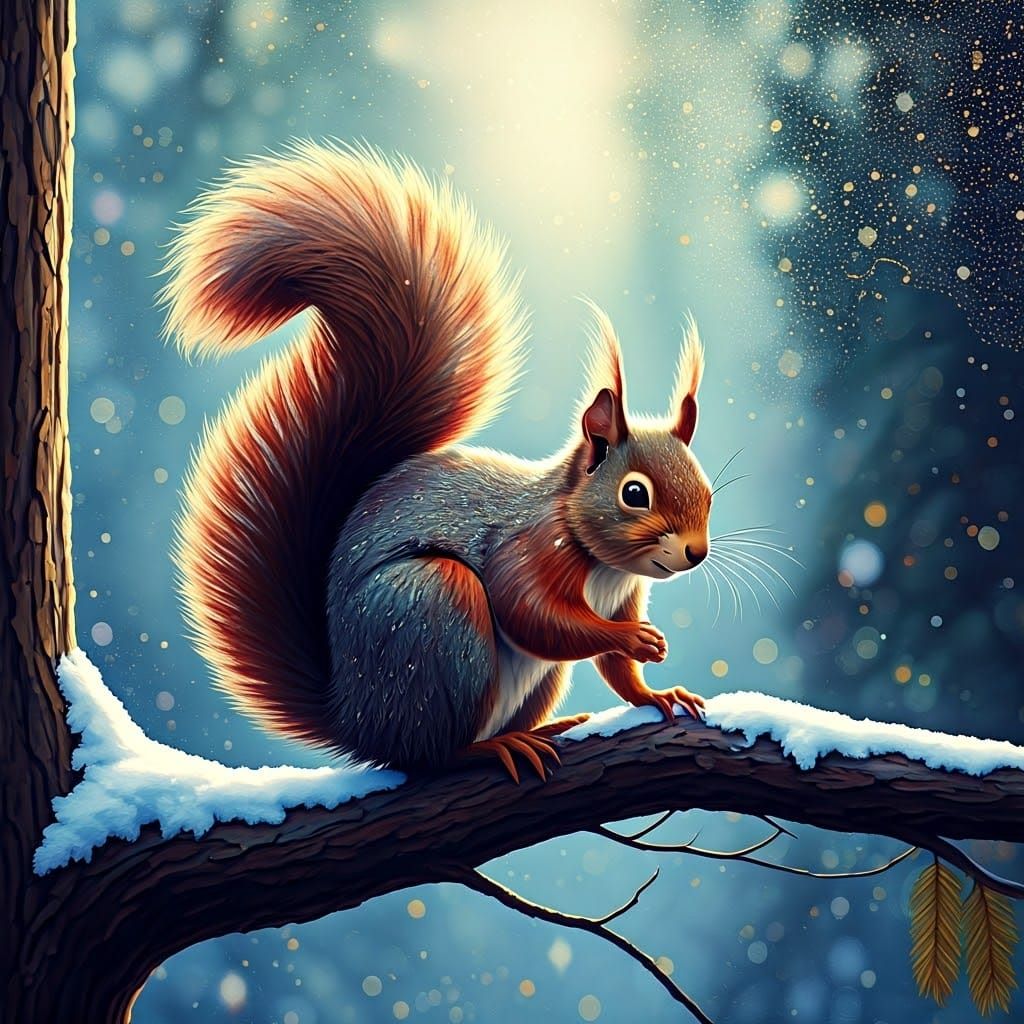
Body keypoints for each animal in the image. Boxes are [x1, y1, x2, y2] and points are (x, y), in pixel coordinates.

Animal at [160, 141, 711, 783]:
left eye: (707, 492)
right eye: (634, 493)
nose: (695, 552)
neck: (598, 556)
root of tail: (355, 720)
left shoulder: (624, 589)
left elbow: (615, 675)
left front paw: (656, 691)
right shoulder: (527, 547)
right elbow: (533, 614)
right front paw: (632, 640)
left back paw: (540, 729)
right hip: (436, 614)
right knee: (429, 755)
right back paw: (492, 748)